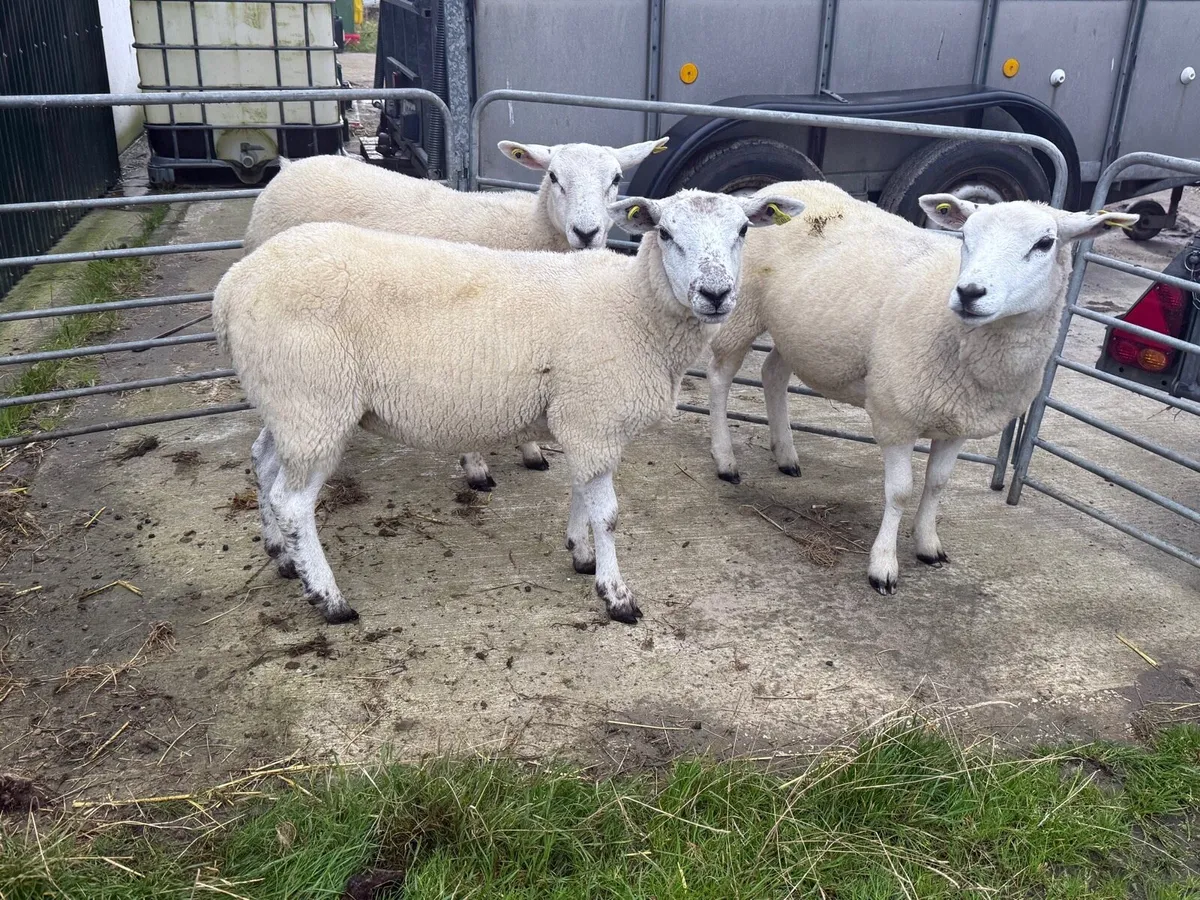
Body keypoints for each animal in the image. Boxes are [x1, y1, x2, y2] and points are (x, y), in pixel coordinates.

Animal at [215, 188, 806, 624]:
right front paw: (616, 595)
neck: (635, 308)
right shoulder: (593, 414)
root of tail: (230, 287)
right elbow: (609, 513)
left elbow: (581, 493)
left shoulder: (580, 417)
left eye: (744, 230)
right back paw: (329, 599)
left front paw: (580, 553)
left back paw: (281, 557)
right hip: (314, 400)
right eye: (665, 233)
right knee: (293, 502)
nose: (715, 294)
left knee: (263, 464)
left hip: (286, 400)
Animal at [243, 138, 667, 490]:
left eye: (616, 178)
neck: (529, 233)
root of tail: (292, 166)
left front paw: (531, 451)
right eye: (553, 176)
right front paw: (477, 468)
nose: (586, 232)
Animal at [704, 180, 1137, 594]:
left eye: (1045, 243)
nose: (969, 293)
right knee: (720, 376)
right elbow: (900, 492)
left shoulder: (959, 419)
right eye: (965, 236)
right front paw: (883, 567)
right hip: (741, 310)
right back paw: (725, 460)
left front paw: (928, 544)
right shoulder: (897, 417)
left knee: (773, 374)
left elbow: (937, 484)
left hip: (796, 332)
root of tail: (775, 190)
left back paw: (786, 455)